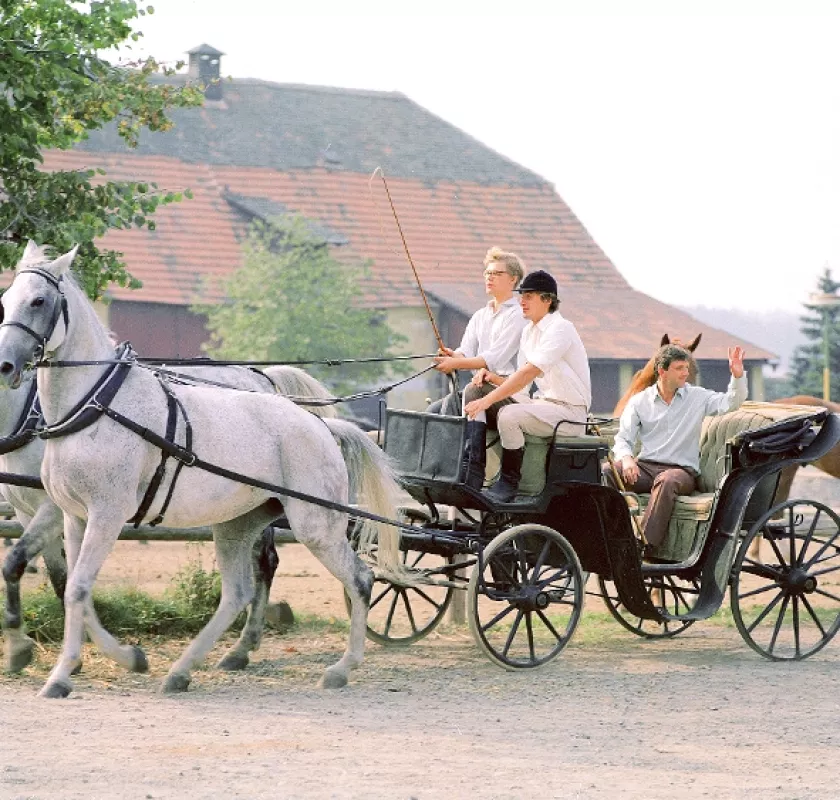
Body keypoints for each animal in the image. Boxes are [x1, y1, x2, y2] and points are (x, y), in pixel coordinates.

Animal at [0, 241, 404, 696]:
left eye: (38, 300)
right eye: (5, 299)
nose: (5, 366)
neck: (95, 406)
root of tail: (321, 425)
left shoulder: (105, 514)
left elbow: (78, 588)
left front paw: (65, 673)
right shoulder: (72, 515)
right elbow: (71, 588)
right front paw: (121, 658)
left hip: (315, 525)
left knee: (360, 579)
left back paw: (341, 667)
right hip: (236, 525)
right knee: (238, 592)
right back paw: (184, 670)